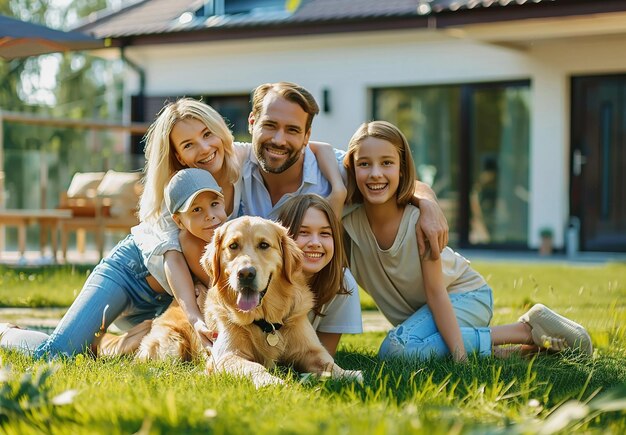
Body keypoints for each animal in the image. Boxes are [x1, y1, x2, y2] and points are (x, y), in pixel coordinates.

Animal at [197, 215, 358, 388]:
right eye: (233, 246)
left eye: (264, 245)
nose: (246, 274)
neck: (266, 322)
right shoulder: (226, 356)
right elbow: (254, 367)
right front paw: (272, 381)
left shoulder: (311, 349)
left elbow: (328, 363)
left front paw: (349, 374)